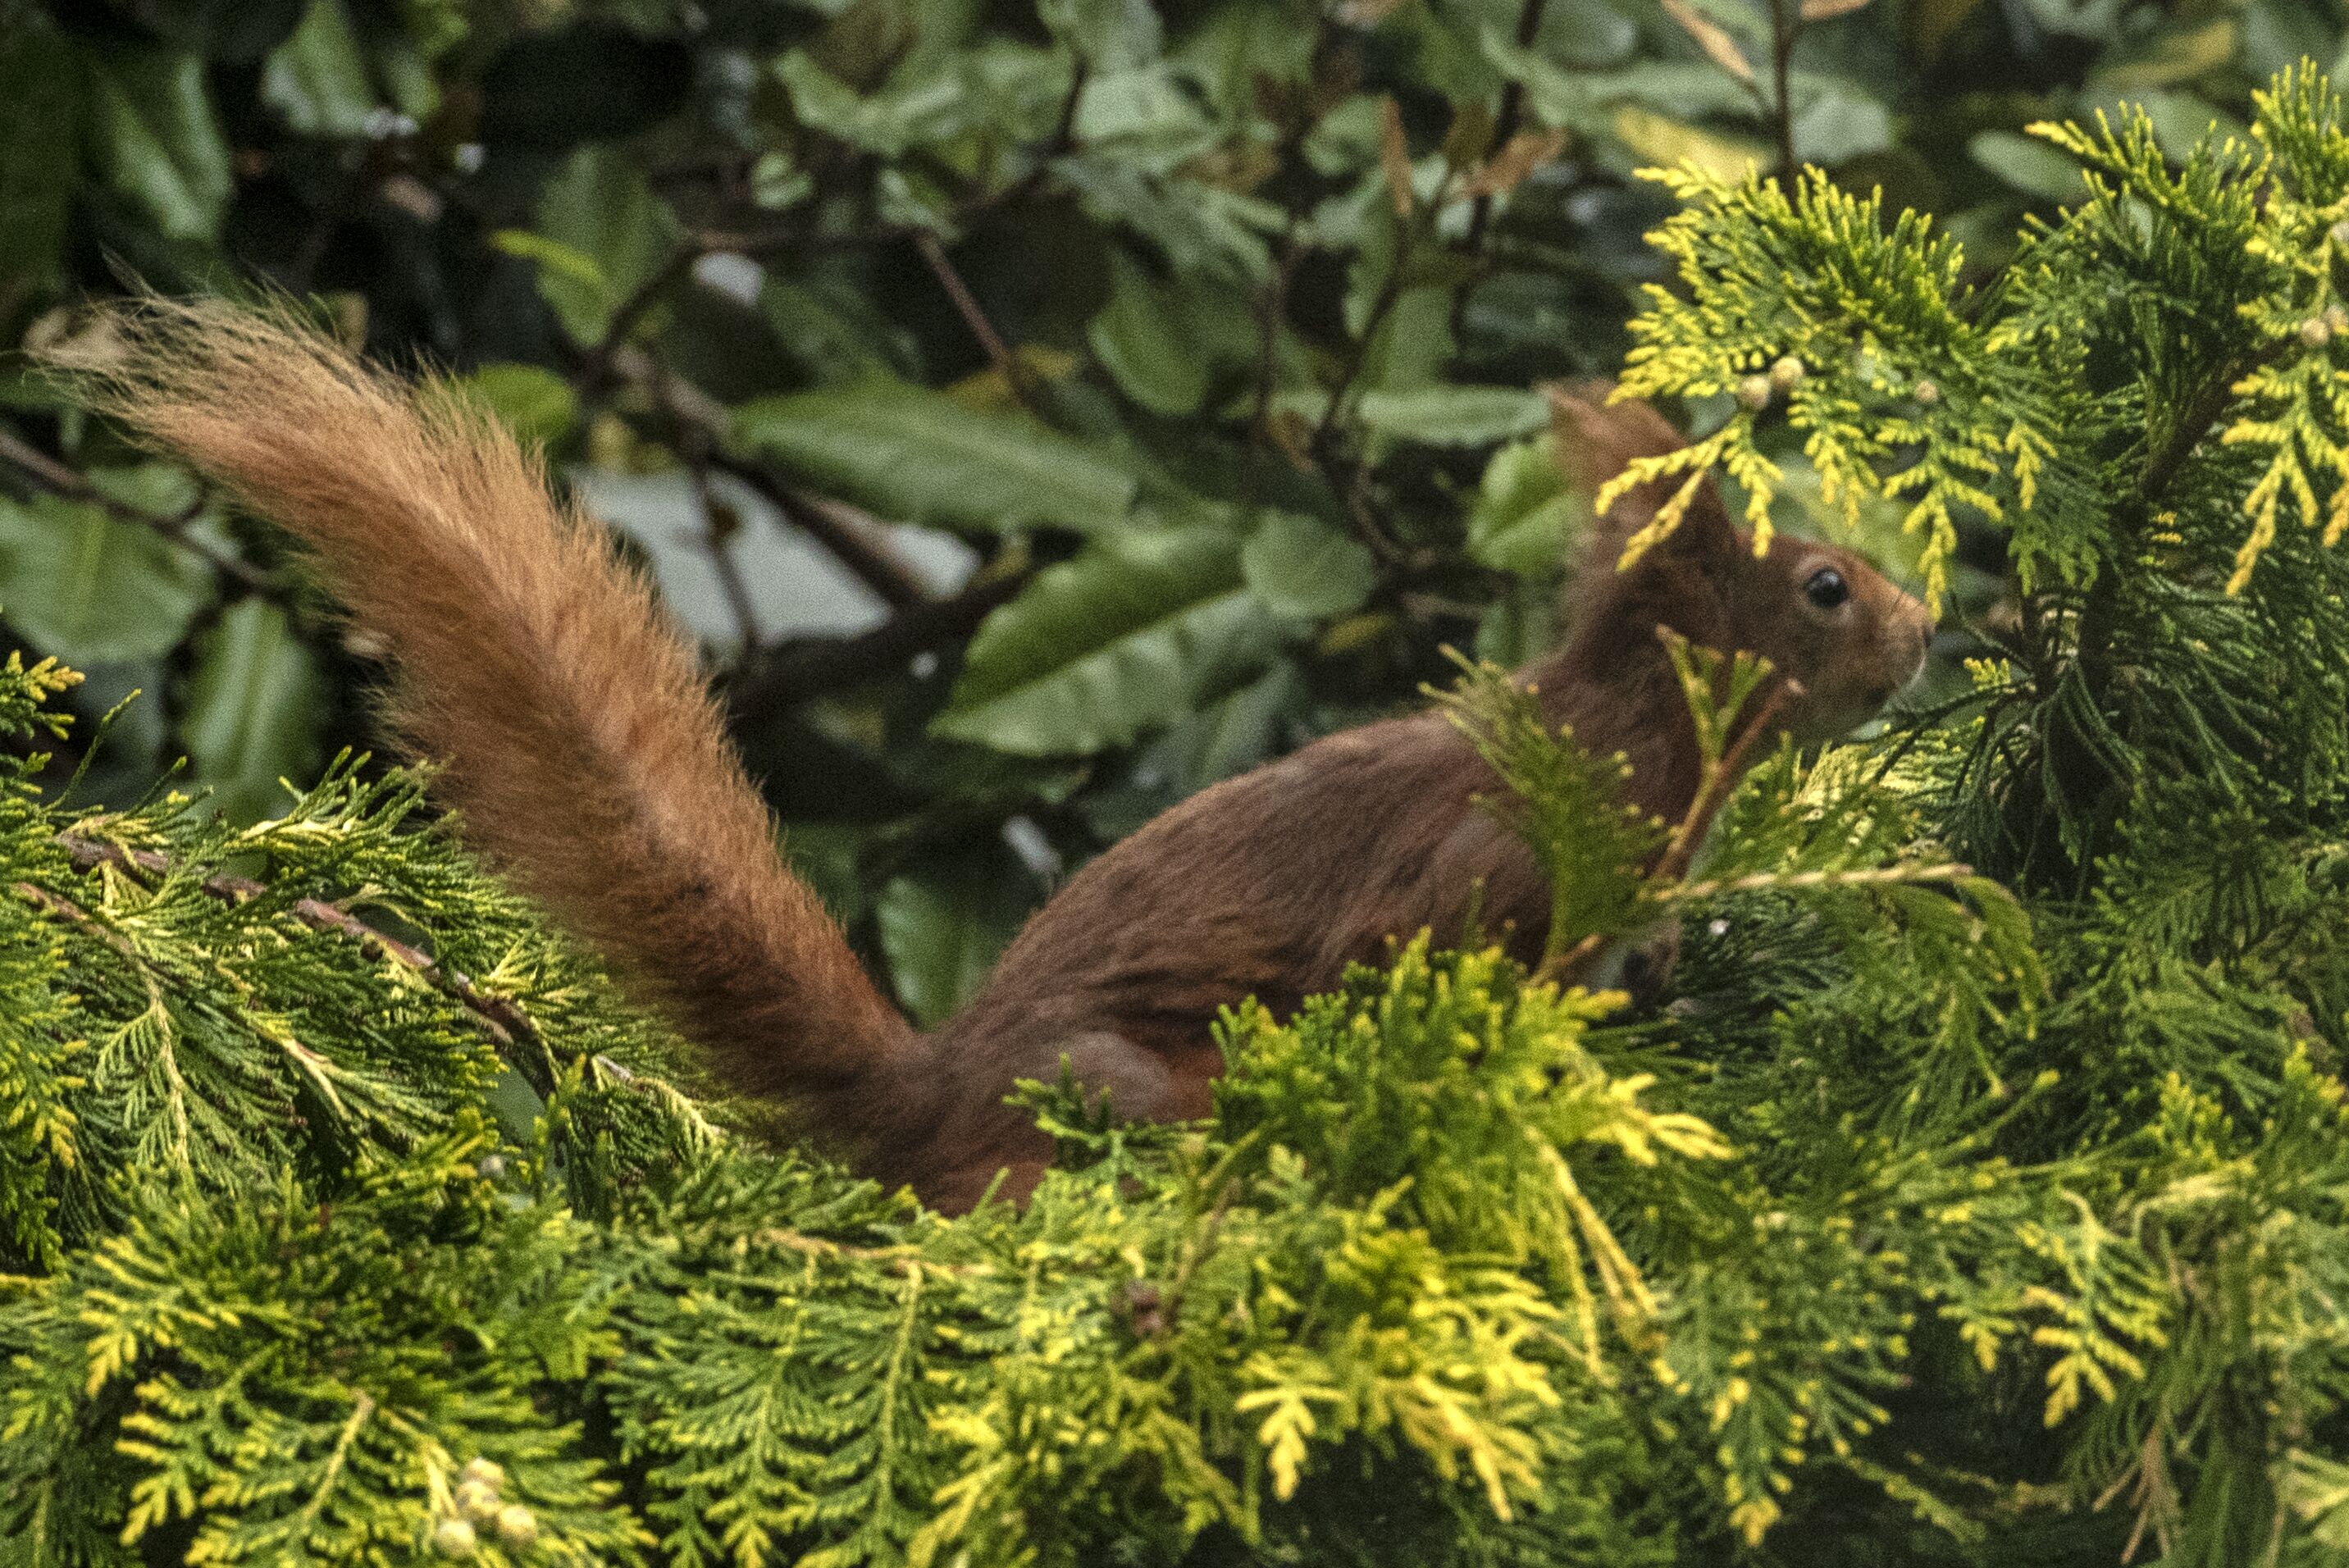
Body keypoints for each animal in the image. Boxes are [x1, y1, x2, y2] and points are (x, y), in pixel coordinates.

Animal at [64, 303, 1931, 1212]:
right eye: (1824, 584)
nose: (1930, 631)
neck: (1637, 731)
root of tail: (927, 1099)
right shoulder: (1492, 856)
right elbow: (1412, 951)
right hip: (1114, 1098)